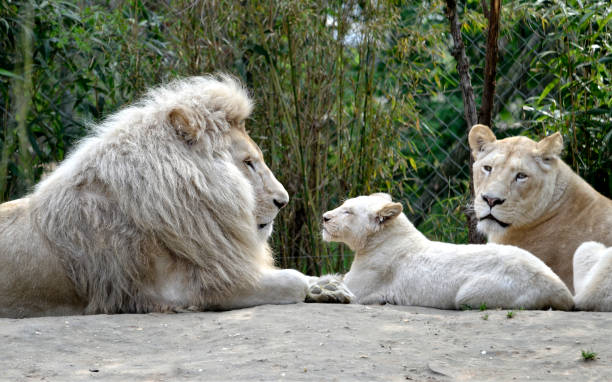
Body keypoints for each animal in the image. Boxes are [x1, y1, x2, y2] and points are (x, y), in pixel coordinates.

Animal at [0, 75, 350, 320]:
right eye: (248, 162)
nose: (283, 201)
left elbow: (299, 276)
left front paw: (328, 285)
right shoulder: (189, 289)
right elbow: (291, 280)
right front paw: (316, 286)